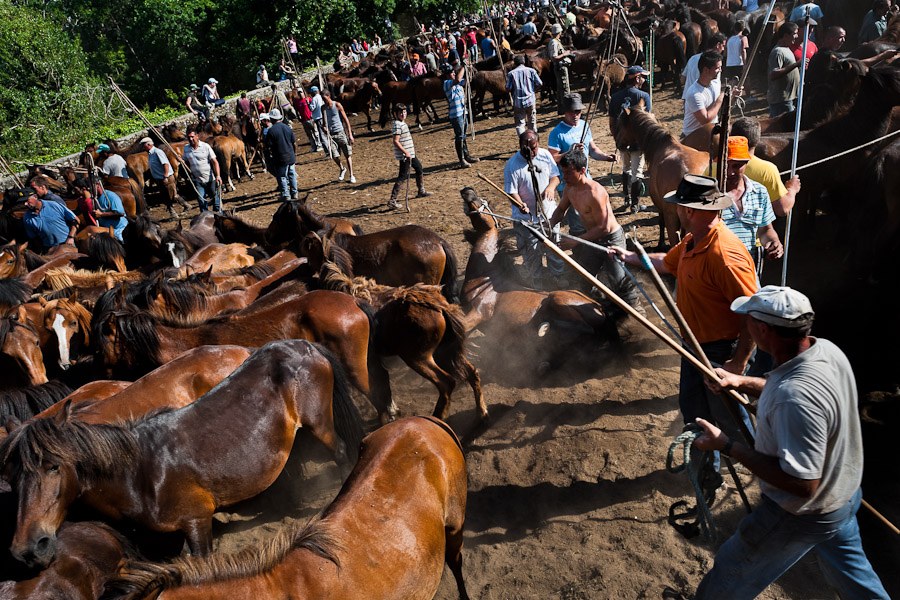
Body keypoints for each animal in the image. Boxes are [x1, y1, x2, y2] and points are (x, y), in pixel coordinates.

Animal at [0, 340, 366, 564]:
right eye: (10, 479)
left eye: (53, 467)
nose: (27, 549)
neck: (139, 473)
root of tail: (301, 344)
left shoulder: (196, 521)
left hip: (320, 424)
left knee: (341, 452)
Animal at [316, 255, 486, 424]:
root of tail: (440, 308)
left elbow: (377, 385)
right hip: (444, 353)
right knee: (472, 372)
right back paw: (481, 413)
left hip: (417, 357)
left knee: (446, 383)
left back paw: (436, 417)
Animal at [612, 106, 712, 247]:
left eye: (620, 123)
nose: (618, 144)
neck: (663, 145)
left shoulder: (660, 205)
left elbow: (661, 222)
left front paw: (660, 243)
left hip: (672, 217)